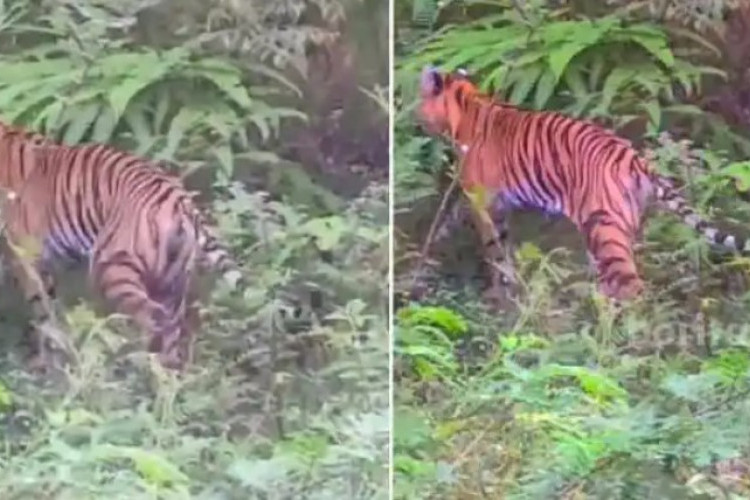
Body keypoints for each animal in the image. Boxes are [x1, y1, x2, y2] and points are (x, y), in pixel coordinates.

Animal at [0, 122, 244, 370]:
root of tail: (180, 202)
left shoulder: (25, 256)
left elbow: (42, 309)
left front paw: (46, 359)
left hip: (113, 270)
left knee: (152, 319)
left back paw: (134, 363)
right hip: (170, 283)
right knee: (171, 329)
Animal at [418, 66, 750, 300]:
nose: (416, 118)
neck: (467, 104)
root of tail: (635, 158)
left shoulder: (483, 201)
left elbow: (494, 250)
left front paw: (500, 289)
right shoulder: (494, 204)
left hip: (605, 228)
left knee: (632, 287)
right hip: (617, 226)